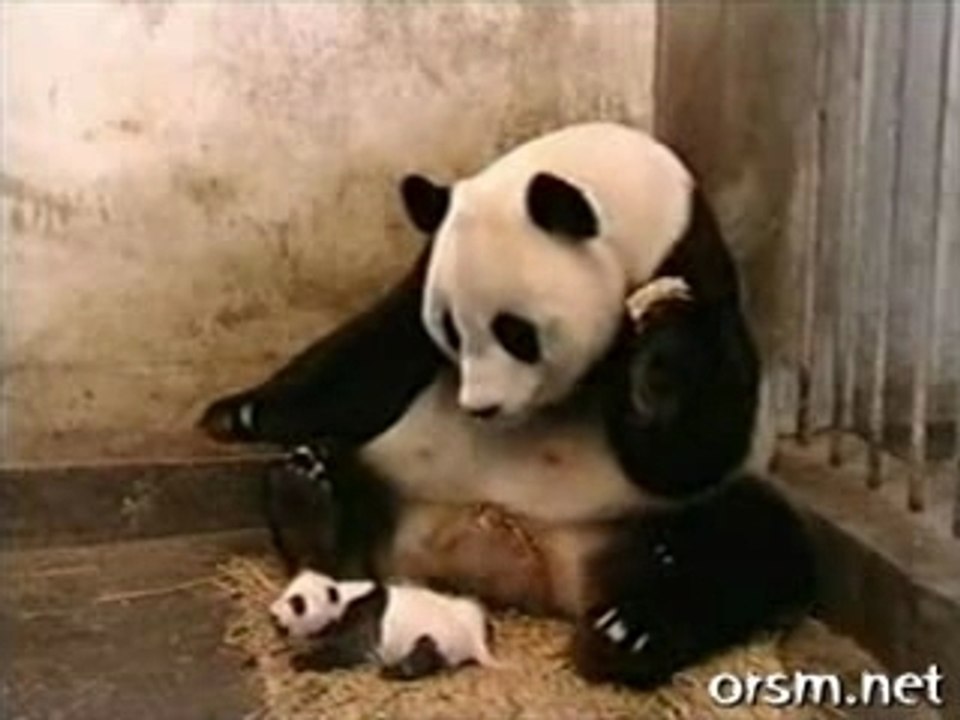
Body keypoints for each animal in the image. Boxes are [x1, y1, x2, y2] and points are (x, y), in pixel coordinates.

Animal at [200, 122, 815, 689]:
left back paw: (625, 634)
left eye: (516, 332)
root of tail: (506, 565)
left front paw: (654, 360)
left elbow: (696, 443)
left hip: (634, 522)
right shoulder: (429, 265)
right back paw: (309, 494)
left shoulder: (702, 274)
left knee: (749, 541)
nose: (482, 407)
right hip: (399, 480)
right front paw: (237, 415)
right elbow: (375, 353)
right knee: (339, 482)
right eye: (450, 328)